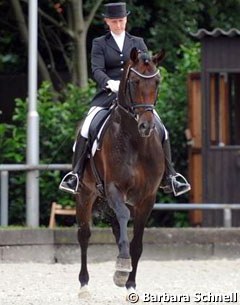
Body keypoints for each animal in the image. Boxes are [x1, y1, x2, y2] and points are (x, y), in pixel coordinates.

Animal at [76, 47, 166, 296]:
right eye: (134, 82)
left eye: (157, 82)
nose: (146, 126)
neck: (136, 141)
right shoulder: (115, 188)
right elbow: (124, 218)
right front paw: (122, 268)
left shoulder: (147, 198)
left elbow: (137, 243)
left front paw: (130, 283)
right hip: (85, 193)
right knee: (84, 235)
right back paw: (84, 285)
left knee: (118, 230)